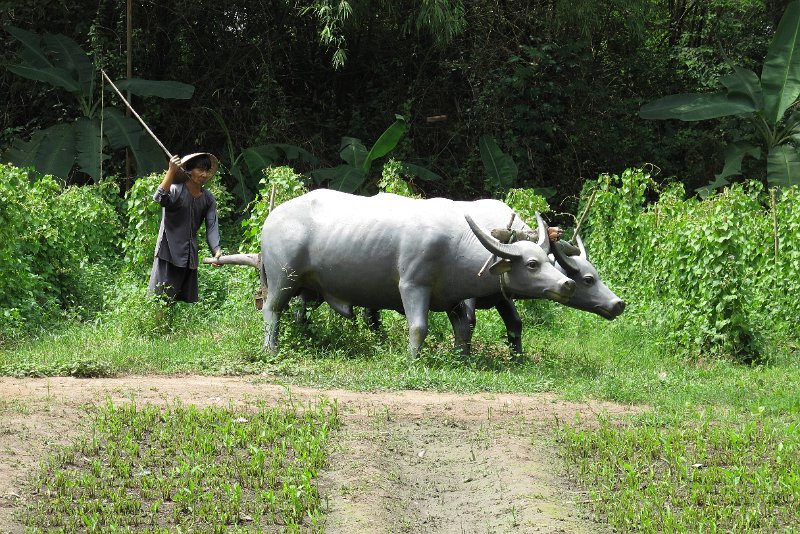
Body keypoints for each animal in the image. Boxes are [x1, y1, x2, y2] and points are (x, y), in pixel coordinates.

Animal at [258, 191, 576, 358]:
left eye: (546, 260)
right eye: (532, 264)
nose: (567, 284)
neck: (456, 244)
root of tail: (271, 220)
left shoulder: (453, 298)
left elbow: (463, 328)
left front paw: (462, 357)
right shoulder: (413, 286)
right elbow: (418, 327)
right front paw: (413, 357)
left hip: (306, 287)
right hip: (283, 279)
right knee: (271, 310)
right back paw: (271, 348)